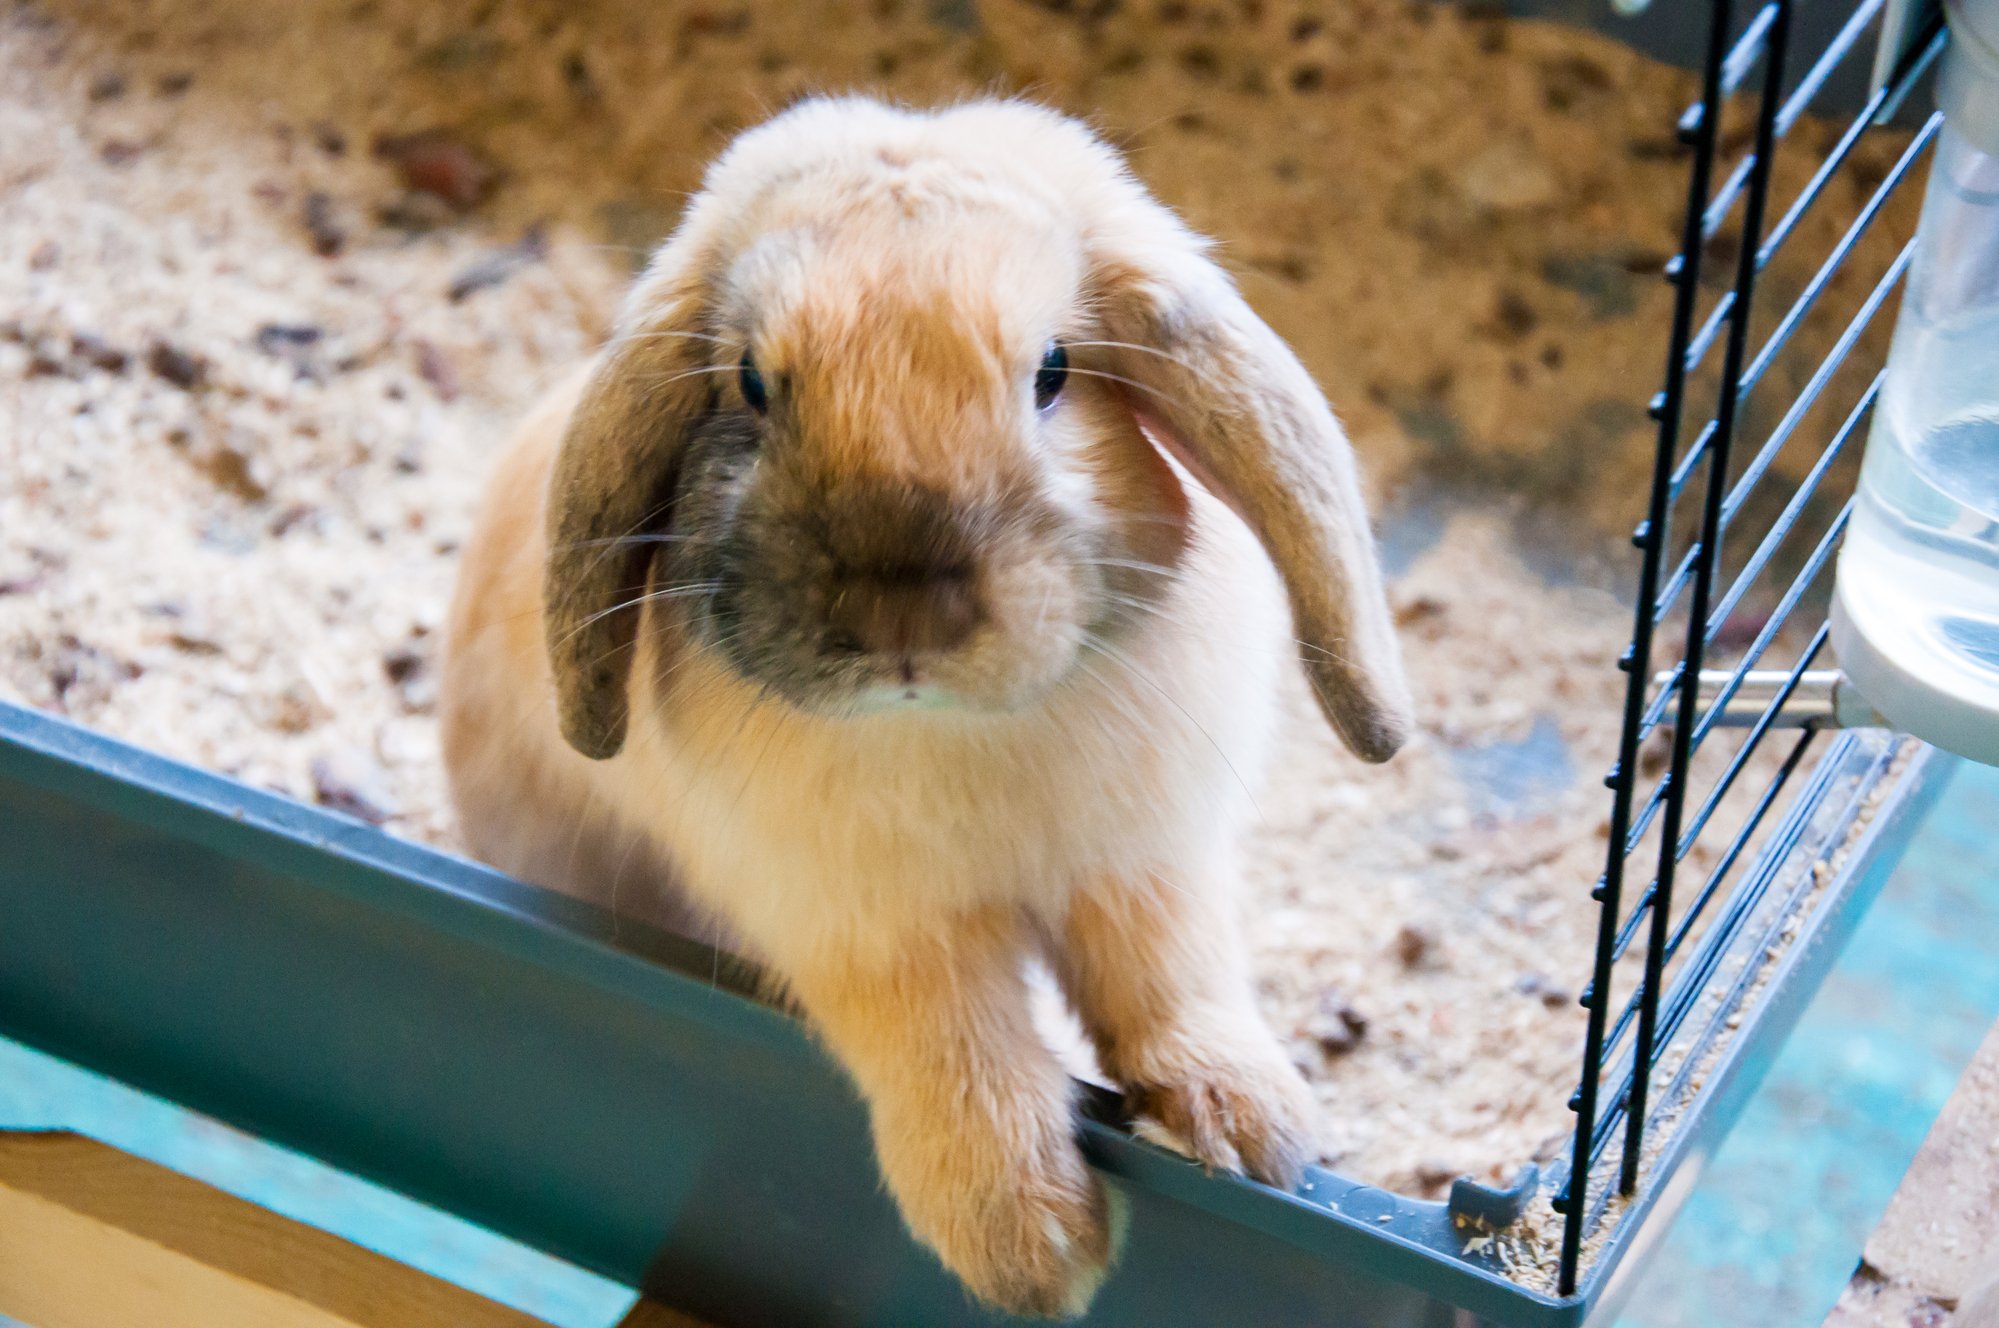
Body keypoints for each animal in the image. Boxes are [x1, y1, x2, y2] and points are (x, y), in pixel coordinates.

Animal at [440, 95, 1412, 1319]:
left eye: (1052, 371)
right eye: (751, 384)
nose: (903, 613)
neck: (952, 727)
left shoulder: (1146, 868)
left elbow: (1168, 981)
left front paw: (1244, 1130)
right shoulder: (874, 933)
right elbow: (960, 1058)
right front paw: (1033, 1249)